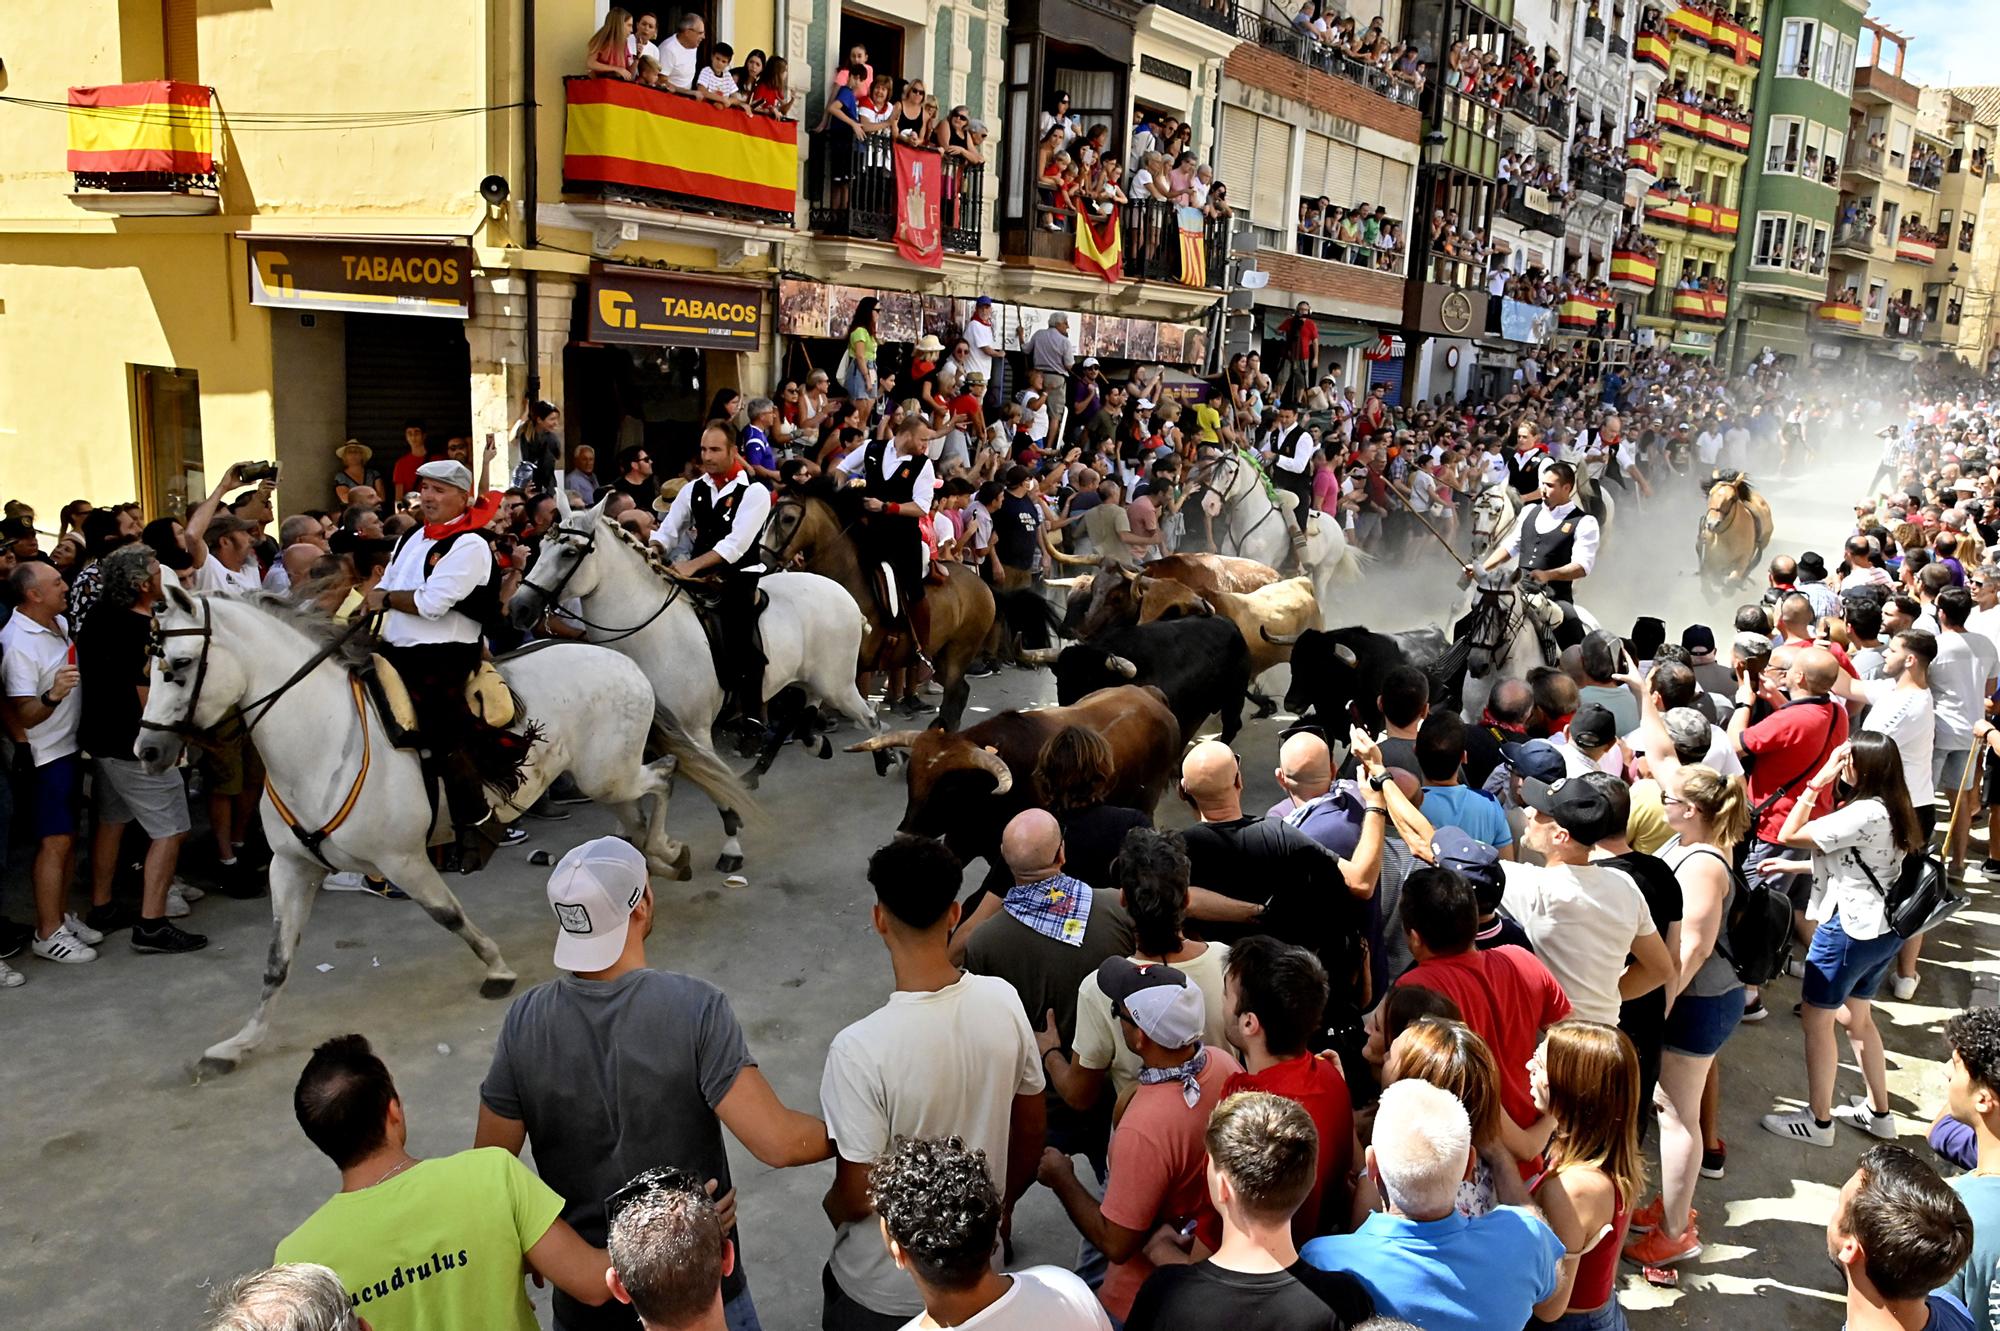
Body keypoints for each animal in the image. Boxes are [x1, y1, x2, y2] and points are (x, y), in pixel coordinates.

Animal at [139, 587, 720, 1071]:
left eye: (181, 665)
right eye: (153, 665)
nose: (147, 752)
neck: (322, 740)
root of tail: (621, 659)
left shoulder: (403, 860)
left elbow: (449, 915)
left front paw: (498, 970)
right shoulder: (291, 866)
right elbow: (276, 962)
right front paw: (239, 1044)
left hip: (609, 774)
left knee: (664, 779)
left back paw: (672, 854)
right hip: (602, 779)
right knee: (636, 818)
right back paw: (649, 868)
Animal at [508, 489, 876, 819]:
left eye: (569, 552)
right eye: (541, 547)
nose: (518, 608)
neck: (651, 635)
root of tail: (841, 593)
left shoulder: (694, 732)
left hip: (837, 684)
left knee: (866, 717)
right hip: (812, 680)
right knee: (802, 712)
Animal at [752, 479, 996, 727]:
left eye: (788, 518)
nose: (762, 561)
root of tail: (980, 583)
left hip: (959, 651)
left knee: (956, 692)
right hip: (942, 656)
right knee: (958, 691)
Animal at [848, 683, 1184, 871]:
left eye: (951, 789)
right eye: (911, 776)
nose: (904, 836)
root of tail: (1149, 694)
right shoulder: (962, 842)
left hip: (1147, 798)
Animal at [1192, 447, 1368, 619]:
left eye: (1230, 471)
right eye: (1212, 470)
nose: (1208, 504)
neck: (1249, 520)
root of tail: (1336, 525)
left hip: (1324, 571)